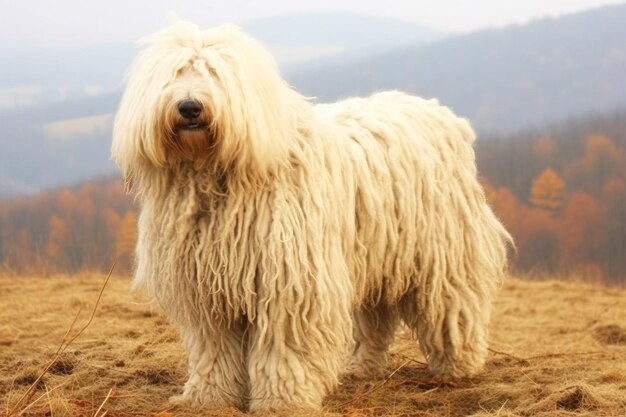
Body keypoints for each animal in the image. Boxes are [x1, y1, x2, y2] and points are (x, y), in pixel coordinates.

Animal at [112, 22, 510, 410]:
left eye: (215, 73)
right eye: (175, 73)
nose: (190, 107)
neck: (212, 174)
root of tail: (444, 115)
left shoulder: (290, 282)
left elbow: (283, 346)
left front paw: (280, 400)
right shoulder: (207, 290)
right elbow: (214, 348)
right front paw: (208, 397)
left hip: (441, 251)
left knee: (451, 306)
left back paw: (456, 366)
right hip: (376, 253)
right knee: (375, 320)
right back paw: (360, 366)